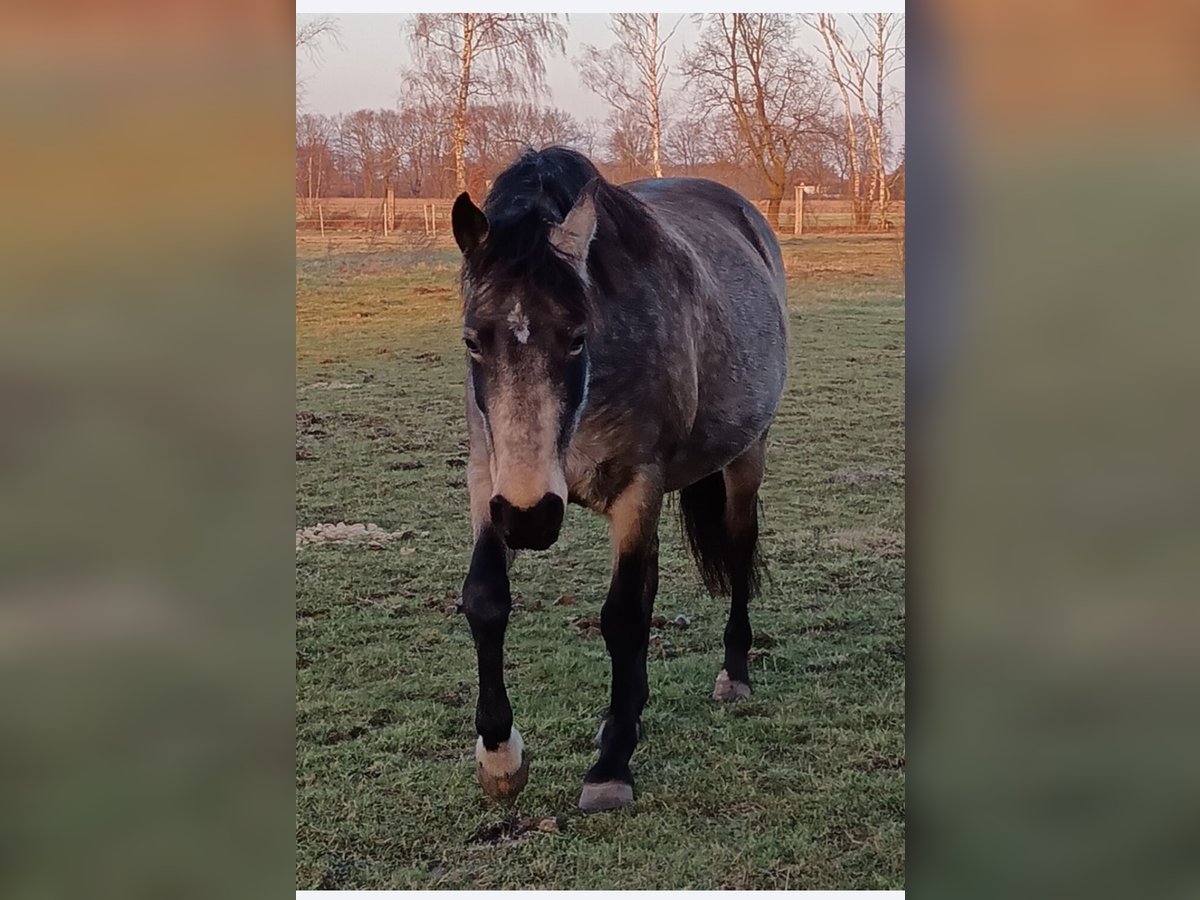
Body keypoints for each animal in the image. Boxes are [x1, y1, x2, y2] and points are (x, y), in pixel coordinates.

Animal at [451, 146, 787, 811]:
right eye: (474, 341)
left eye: (578, 338)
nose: (532, 518)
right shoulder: (489, 480)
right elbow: (486, 598)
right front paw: (500, 755)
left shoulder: (638, 486)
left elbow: (624, 616)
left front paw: (610, 767)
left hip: (745, 458)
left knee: (737, 553)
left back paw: (732, 673)